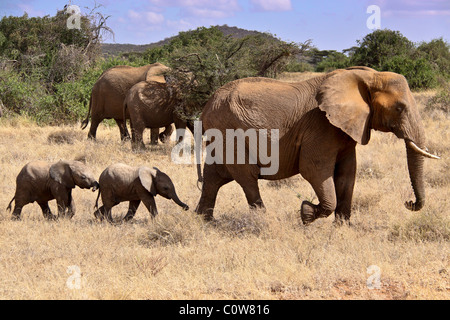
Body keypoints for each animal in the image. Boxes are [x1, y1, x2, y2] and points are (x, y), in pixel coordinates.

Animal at [196, 66, 440, 224]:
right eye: (399, 108)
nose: (409, 202)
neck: (369, 76)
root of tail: (206, 107)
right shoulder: (321, 127)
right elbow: (314, 170)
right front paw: (306, 214)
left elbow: (348, 173)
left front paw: (342, 229)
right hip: (229, 132)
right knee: (247, 178)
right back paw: (262, 224)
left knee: (214, 178)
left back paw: (204, 222)